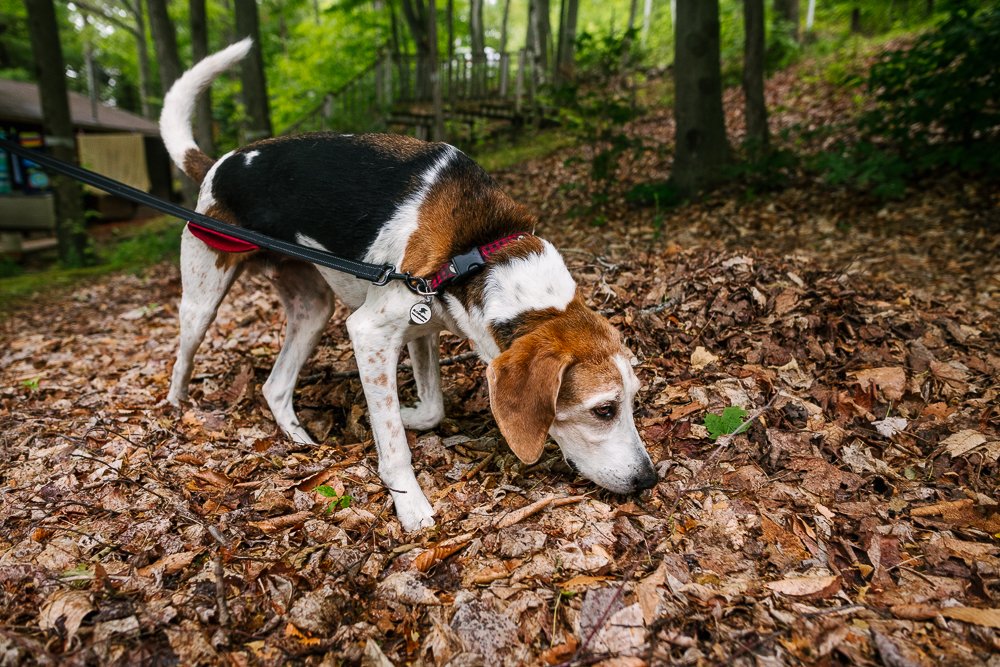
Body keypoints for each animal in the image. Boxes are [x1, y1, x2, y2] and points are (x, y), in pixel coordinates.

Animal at [160, 40, 660, 532]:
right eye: (604, 409)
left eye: (634, 399)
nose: (649, 480)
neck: (479, 248)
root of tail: (219, 163)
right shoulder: (371, 333)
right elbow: (394, 444)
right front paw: (410, 503)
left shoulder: (424, 325)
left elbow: (432, 407)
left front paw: (406, 415)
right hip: (203, 297)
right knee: (183, 357)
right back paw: (176, 410)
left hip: (313, 310)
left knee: (275, 387)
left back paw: (301, 439)